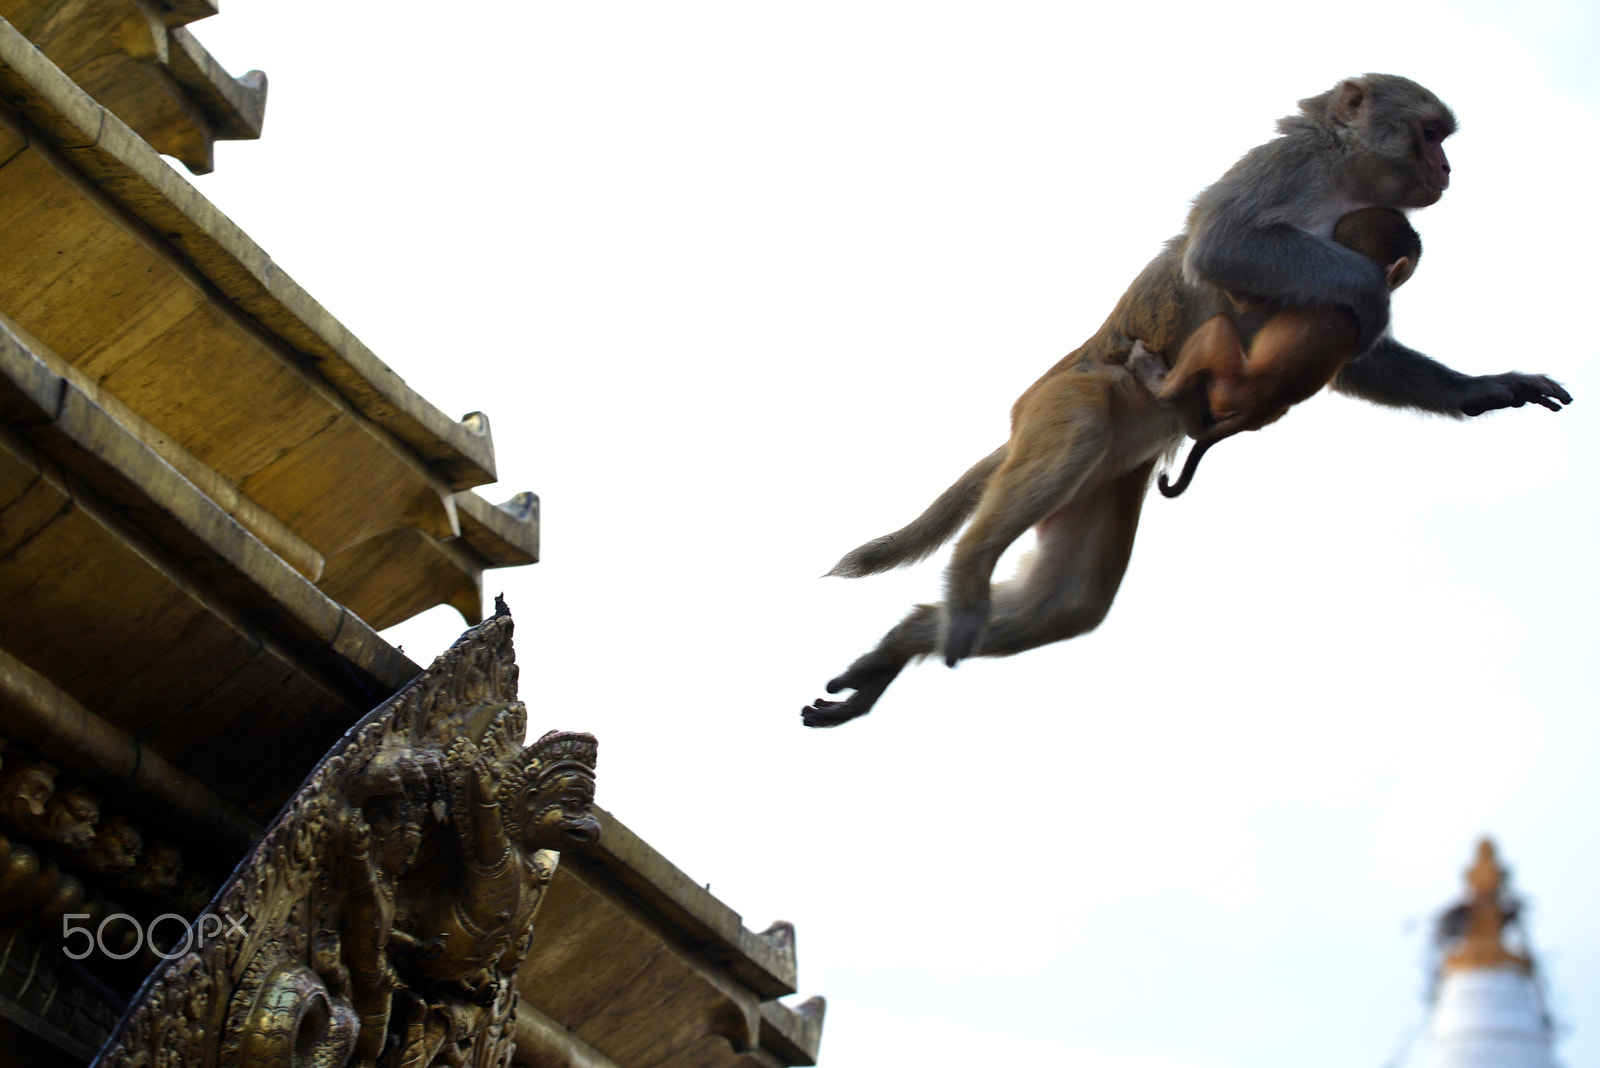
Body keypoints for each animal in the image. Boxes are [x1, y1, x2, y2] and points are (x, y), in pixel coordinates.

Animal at [1132, 207, 1424, 498]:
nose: (1393, 285)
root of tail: (1254, 409)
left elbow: (1244, 302)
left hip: (1229, 380)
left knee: (1217, 329)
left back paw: (1160, 384)